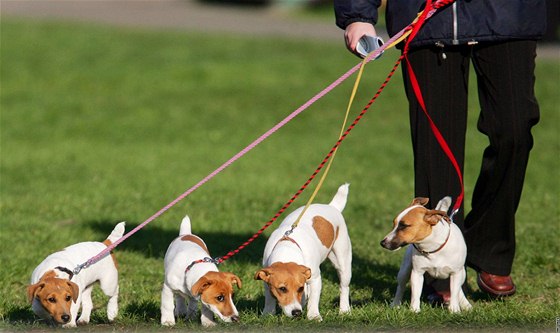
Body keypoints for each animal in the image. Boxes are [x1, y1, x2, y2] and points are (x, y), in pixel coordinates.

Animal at [256, 183, 352, 320]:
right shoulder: (266, 279)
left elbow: (313, 299)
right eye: (282, 289)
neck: (288, 251)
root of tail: (332, 206)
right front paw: (268, 314)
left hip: (342, 261)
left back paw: (344, 310)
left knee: (344, 287)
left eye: (299, 288)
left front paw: (314, 316)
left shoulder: (315, 278)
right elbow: (269, 299)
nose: (296, 313)